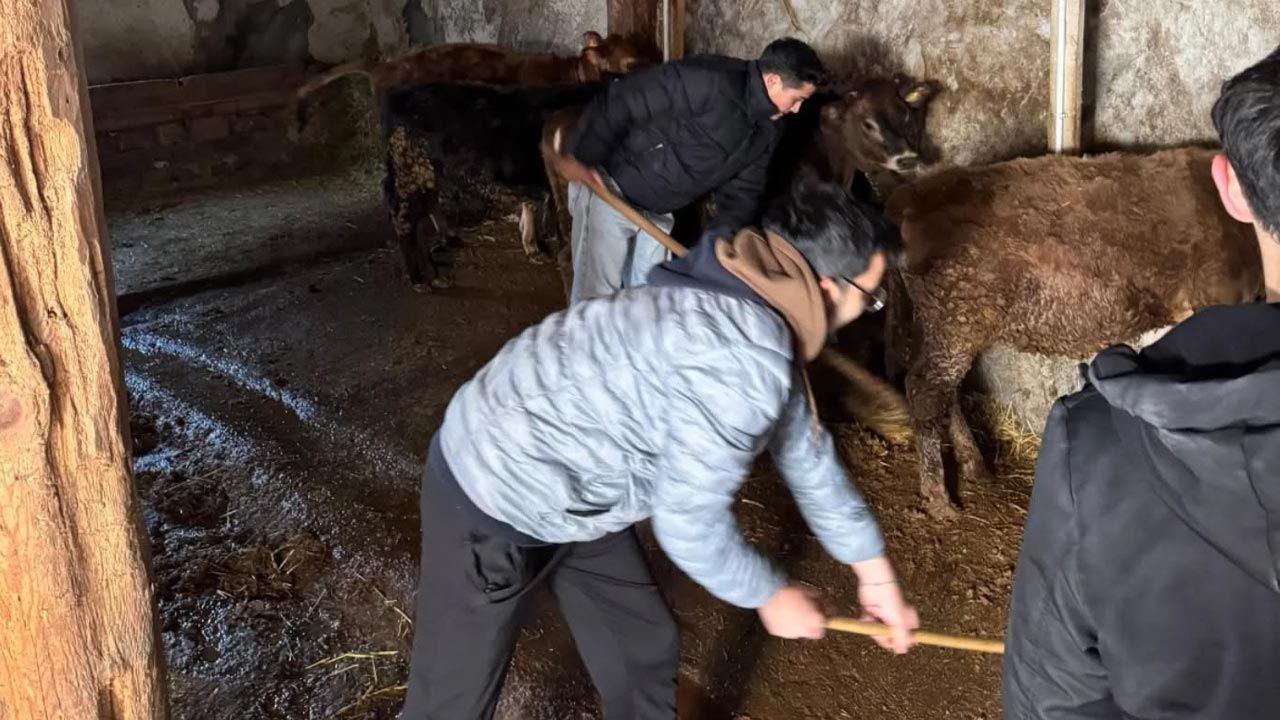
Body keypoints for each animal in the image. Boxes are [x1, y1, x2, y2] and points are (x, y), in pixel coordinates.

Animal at [883, 146, 1263, 517]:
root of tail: (910, 195)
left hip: (948, 325)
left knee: (946, 393)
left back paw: (975, 466)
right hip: (956, 321)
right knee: (925, 390)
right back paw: (939, 498)